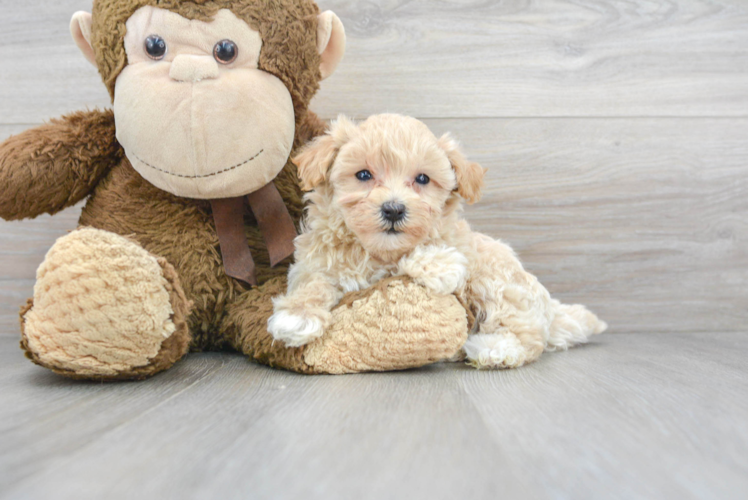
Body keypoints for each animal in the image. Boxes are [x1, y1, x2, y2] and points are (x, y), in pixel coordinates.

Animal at [268, 114, 608, 372]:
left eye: (422, 179)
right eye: (363, 175)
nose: (393, 209)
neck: (377, 251)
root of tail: (550, 309)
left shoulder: (456, 248)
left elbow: (433, 253)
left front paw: (434, 264)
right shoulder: (314, 262)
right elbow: (313, 282)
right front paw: (296, 315)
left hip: (499, 280)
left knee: (525, 335)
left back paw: (493, 348)